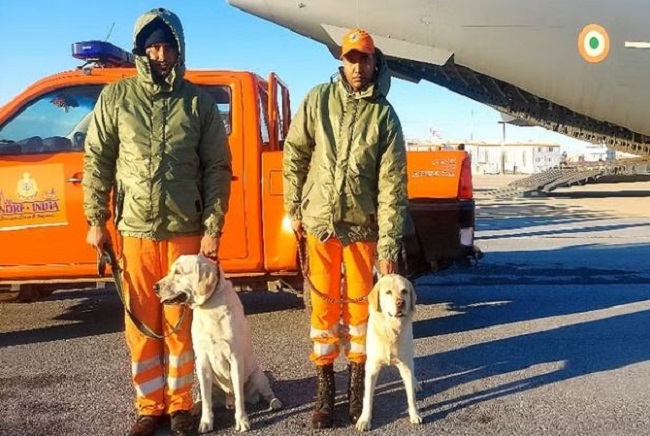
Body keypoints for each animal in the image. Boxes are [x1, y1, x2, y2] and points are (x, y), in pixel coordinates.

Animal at [156, 255, 282, 432]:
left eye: (178, 272)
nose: (154, 287)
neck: (210, 308)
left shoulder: (235, 358)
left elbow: (239, 398)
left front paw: (242, 421)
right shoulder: (202, 360)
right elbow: (207, 401)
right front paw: (206, 422)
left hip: (258, 376)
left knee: (266, 392)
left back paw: (275, 402)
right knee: (203, 397)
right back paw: (195, 407)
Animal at [352, 274, 422, 430]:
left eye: (404, 291)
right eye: (388, 292)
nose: (400, 303)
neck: (391, 329)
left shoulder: (405, 366)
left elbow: (411, 396)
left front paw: (414, 415)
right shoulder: (372, 368)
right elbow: (367, 398)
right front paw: (364, 419)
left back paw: (415, 384)